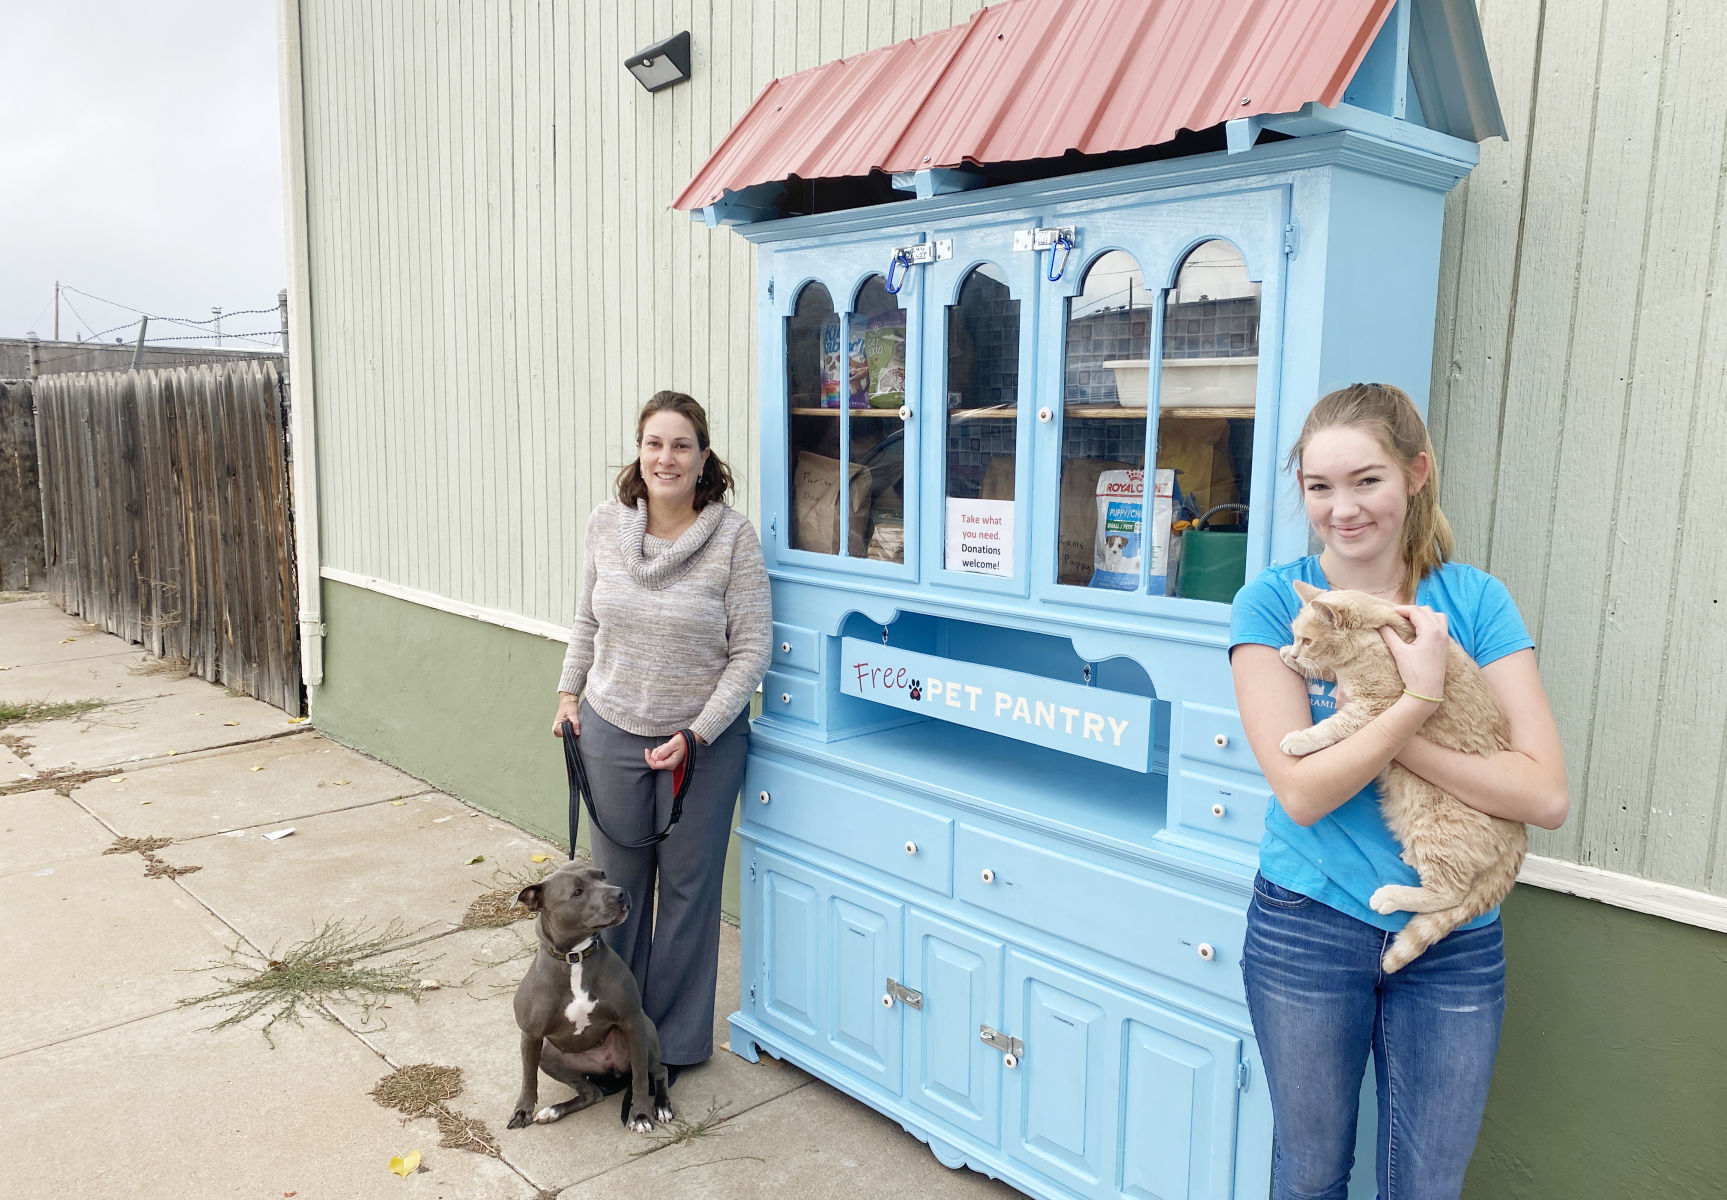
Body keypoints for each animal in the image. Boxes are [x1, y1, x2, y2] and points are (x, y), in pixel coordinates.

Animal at [504, 863, 670, 1132]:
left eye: (601, 875)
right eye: (577, 892)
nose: (621, 892)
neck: (575, 958)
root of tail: (610, 1068)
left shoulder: (632, 1021)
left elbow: (640, 1080)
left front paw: (641, 1115)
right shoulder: (530, 1036)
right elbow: (528, 1079)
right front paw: (522, 1111)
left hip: (645, 1034)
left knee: (657, 1071)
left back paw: (662, 1106)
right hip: (549, 1054)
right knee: (591, 1093)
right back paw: (553, 1111)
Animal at [1271, 583, 1526, 973]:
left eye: (1308, 639)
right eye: (1297, 637)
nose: (1296, 648)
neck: (1373, 634)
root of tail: (1519, 833)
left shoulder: (1374, 707)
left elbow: (1333, 726)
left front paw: (1301, 738)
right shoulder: (1348, 683)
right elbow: (1329, 673)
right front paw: (1290, 658)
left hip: (1435, 827)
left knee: (1450, 893)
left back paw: (1391, 895)